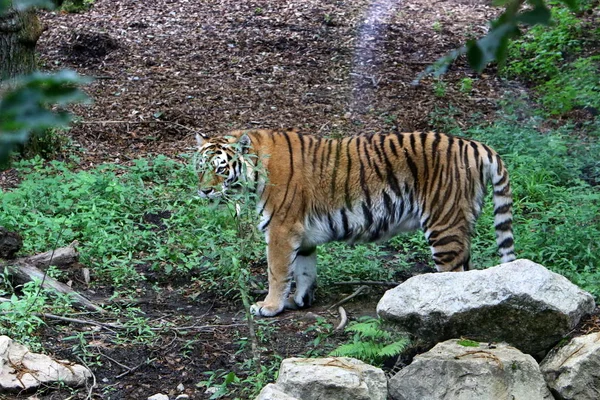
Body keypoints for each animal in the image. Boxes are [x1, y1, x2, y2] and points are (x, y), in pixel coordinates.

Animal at [195, 128, 512, 316]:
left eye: (221, 169)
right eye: (200, 168)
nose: (204, 191)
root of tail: (475, 145)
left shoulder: (281, 229)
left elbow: (277, 271)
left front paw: (270, 306)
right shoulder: (302, 236)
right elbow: (304, 270)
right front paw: (298, 300)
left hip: (444, 225)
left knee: (454, 277)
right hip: (460, 225)